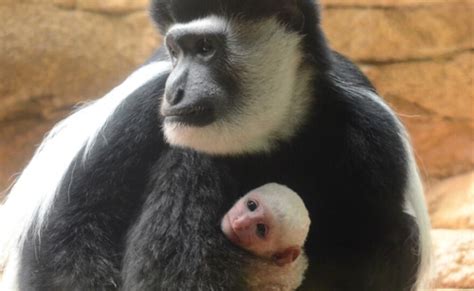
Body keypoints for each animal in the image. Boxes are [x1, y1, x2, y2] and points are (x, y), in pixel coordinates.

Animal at [0, 0, 432, 291]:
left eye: (206, 48)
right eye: (177, 51)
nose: (175, 91)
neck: (264, 132)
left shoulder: (374, 138)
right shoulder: (136, 112)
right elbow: (64, 238)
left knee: (397, 236)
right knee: (192, 164)